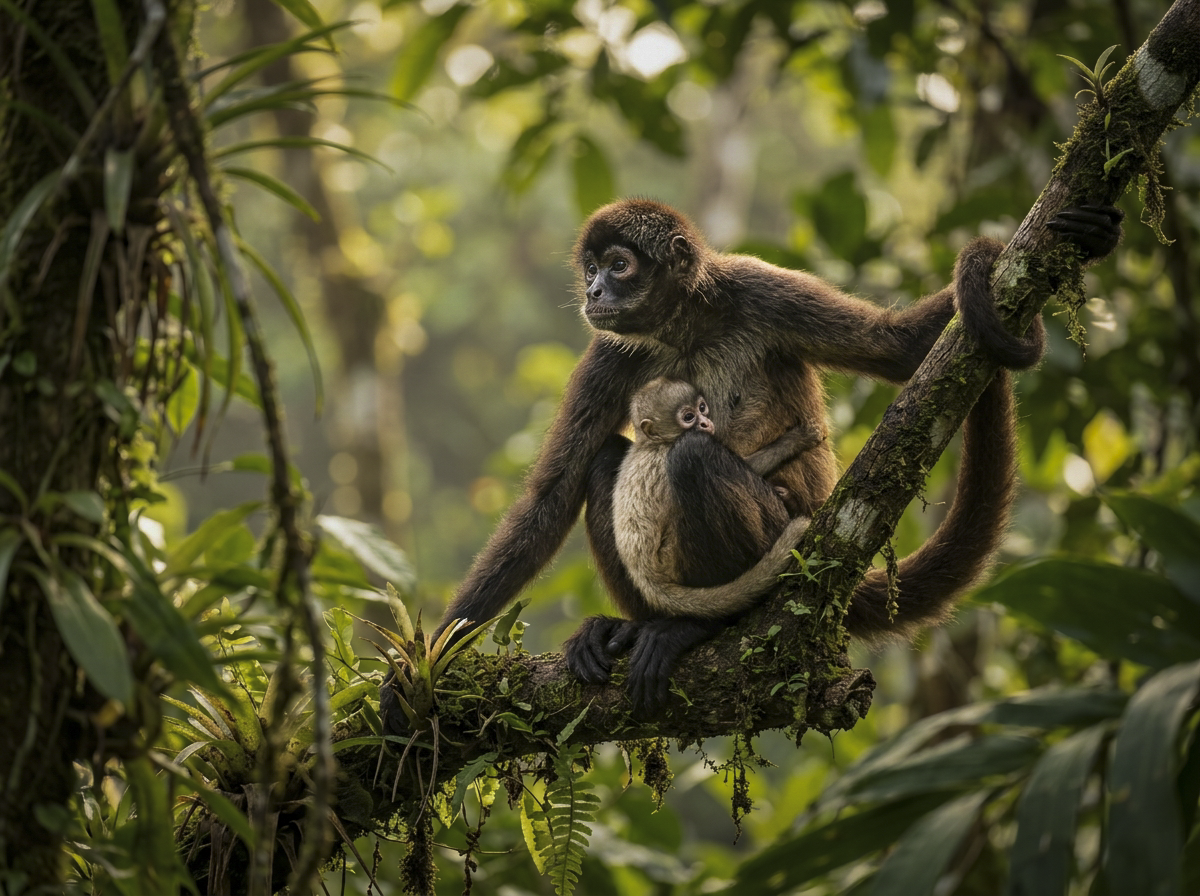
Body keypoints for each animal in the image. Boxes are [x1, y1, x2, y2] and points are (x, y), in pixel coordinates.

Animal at [379, 198, 1122, 729]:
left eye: (617, 265)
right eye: (589, 270)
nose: (593, 293)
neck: (686, 324)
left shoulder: (758, 288)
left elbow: (901, 347)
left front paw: (1091, 232)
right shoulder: (611, 350)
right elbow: (552, 494)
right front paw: (419, 669)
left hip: (779, 532)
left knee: (690, 460)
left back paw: (697, 627)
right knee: (608, 460)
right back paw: (634, 627)